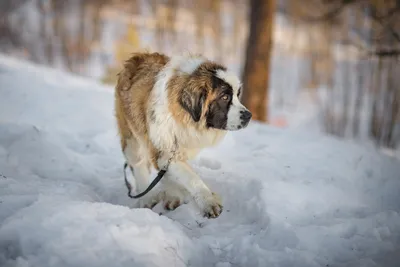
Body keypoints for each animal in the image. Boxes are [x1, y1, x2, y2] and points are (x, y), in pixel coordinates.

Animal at [113, 52, 250, 220]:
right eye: (224, 97)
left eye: (237, 95)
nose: (249, 115)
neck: (184, 117)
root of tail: (137, 57)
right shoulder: (164, 150)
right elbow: (192, 177)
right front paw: (208, 201)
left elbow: (172, 173)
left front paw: (176, 194)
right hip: (131, 140)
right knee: (138, 165)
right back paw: (147, 198)